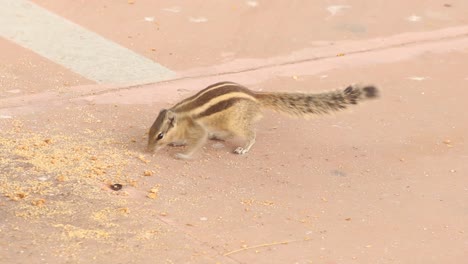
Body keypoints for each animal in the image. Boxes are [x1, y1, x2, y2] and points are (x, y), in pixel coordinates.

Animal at [148, 81, 378, 159]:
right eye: (149, 132)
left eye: (160, 135)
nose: (148, 151)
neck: (182, 115)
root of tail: (255, 97)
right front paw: (178, 142)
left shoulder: (198, 127)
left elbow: (197, 142)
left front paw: (183, 155)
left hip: (237, 122)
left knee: (251, 134)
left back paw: (243, 148)